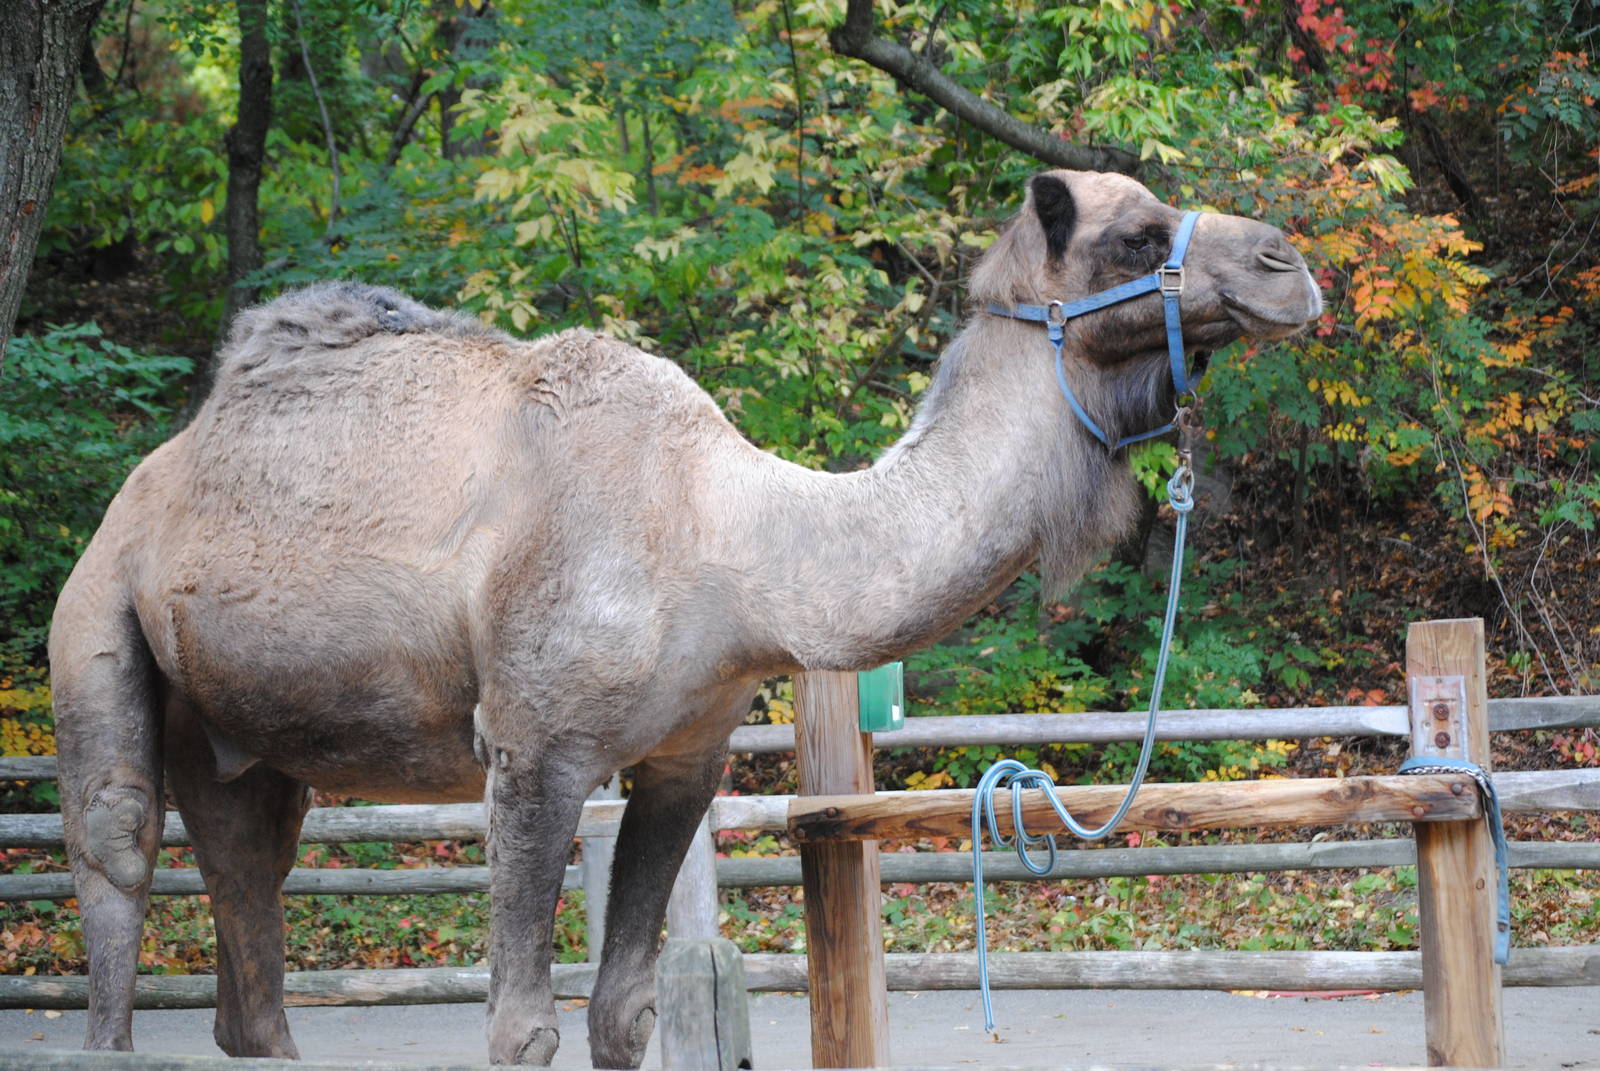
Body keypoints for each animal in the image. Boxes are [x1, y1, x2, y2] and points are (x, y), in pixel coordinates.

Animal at [49, 169, 1320, 1067]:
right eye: (1135, 236)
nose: (1288, 266)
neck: (735, 542)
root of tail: (150, 478)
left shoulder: (685, 751)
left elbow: (623, 1015)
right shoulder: (534, 748)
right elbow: (523, 1028)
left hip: (243, 737)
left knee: (251, 914)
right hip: (96, 616)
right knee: (117, 854)